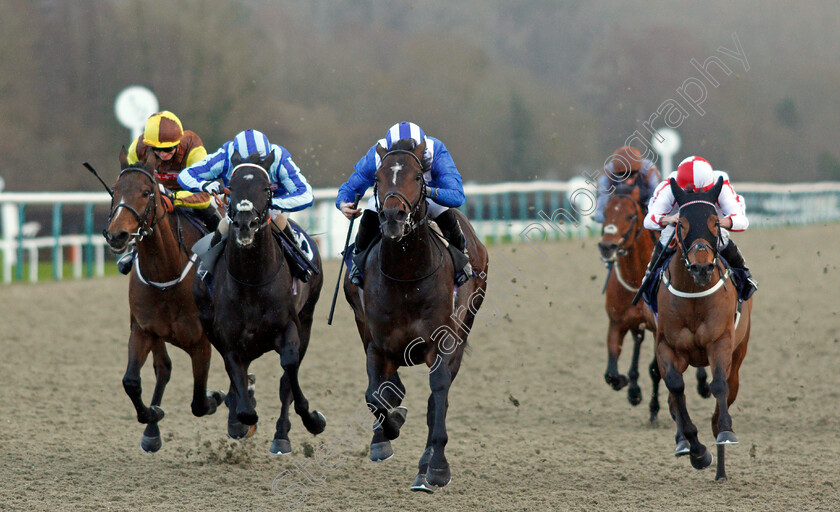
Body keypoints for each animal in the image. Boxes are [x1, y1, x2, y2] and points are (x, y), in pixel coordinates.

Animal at [103, 148, 225, 452]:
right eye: (115, 190)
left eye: (146, 192)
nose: (117, 235)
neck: (167, 273)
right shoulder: (143, 329)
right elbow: (132, 381)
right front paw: (152, 415)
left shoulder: (200, 342)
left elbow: (199, 401)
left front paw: (217, 396)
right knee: (164, 368)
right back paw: (152, 431)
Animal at [194, 150, 328, 454]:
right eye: (230, 188)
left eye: (266, 189)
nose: (245, 224)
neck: (252, 281)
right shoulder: (230, 342)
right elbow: (244, 401)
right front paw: (240, 415)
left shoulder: (290, 327)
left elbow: (289, 369)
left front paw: (312, 418)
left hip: (308, 319)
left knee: (287, 379)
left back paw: (282, 435)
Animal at [342, 139, 488, 492]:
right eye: (377, 177)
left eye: (419, 177)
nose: (393, 216)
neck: (407, 276)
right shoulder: (377, 344)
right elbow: (375, 395)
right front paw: (385, 434)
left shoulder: (442, 343)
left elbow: (437, 398)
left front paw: (435, 469)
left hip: (464, 329)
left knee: (438, 399)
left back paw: (427, 466)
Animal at [596, 187, 708, 420]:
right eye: (606, 212)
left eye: (631, 216)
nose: (607, 246)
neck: (636, 277)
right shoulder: (617, 322)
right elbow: (611, 373)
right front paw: (629, 386)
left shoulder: (661, 329)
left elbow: (656, 369)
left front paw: (657, 408)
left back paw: (702, 384)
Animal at [660, 178, 752, 482]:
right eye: (682, 223)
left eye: (714, 222)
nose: (701, 267)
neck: (694, 295)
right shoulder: (666, 346)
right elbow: (676, 387)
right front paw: (697, 451)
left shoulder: (720, 342)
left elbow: (719, 384)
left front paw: (725, 431)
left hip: (739, 351)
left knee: (728, 387)